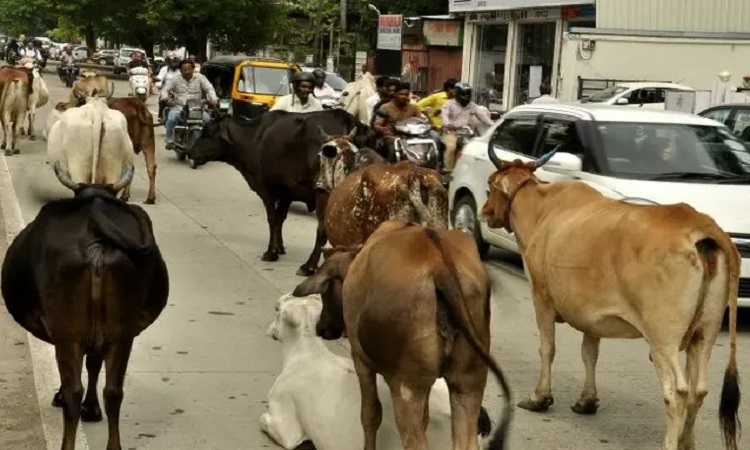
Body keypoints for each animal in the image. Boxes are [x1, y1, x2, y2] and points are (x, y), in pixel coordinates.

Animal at [2, 185, 170, 450]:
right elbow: (93, 364)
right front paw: (91, 409)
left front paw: (66, 398)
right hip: (122, 336)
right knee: (113, 391)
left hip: (69, 335)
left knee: (74, 391)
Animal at [186, 110, 378, 276]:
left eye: (206, 132)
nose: (189, 152)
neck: (253, 138)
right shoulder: (287, 192)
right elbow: (280, 219)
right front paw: (279, 247)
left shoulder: (266, 190)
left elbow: (272, 219)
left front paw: (271, 252)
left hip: (324, 193)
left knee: (323, 228)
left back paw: (309, 266)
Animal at [290, 221, 516, 450]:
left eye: (325, 292)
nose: (321, 327)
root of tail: (440, 265)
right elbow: (424, 418)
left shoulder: (360, 360)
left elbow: (370, 415)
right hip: (468, 384)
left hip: (406, 388)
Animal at [482, 145, 748, 450]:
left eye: (489, 184)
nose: (484, 211)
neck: (542, 210)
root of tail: (702, 227)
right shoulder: (591, 314)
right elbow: (589, 353)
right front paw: (587, 401)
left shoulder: (541, 297)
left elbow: (547, 349)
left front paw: (540, 398)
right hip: (705, 333)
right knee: (699, 390)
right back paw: (686, 441)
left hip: (663, 339)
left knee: (677, 391)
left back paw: (670, 442)